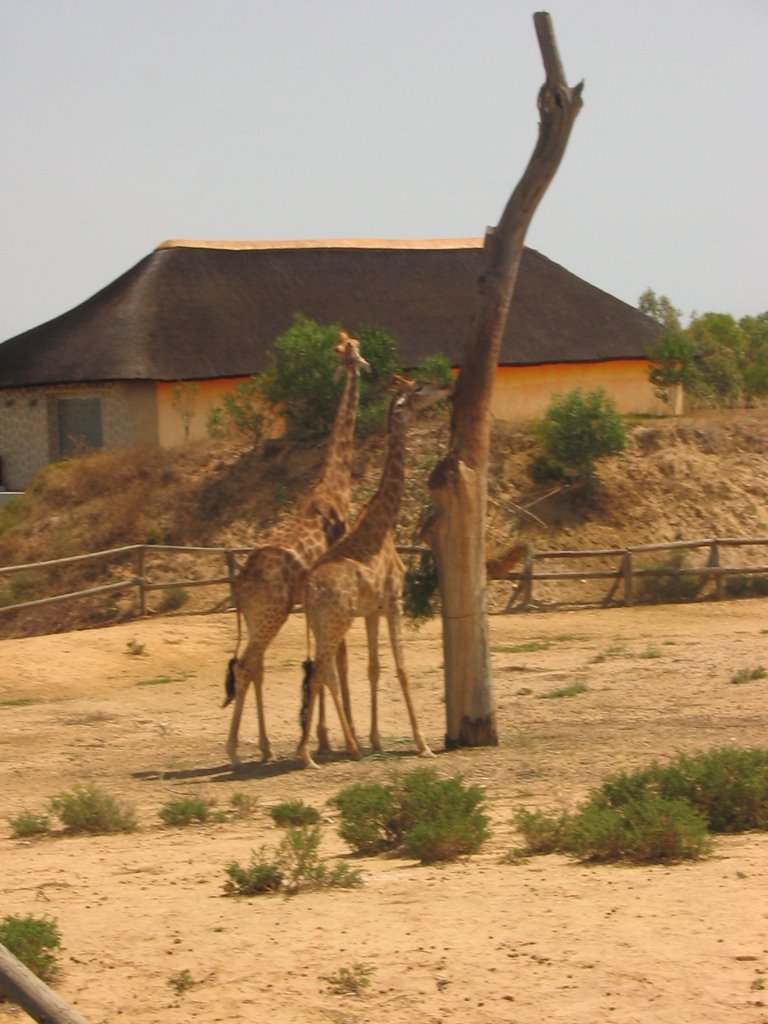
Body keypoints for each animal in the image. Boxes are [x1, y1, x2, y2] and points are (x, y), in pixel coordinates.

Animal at [225, 331, 370, 765]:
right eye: (354, 349)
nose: (359, 360)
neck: (334, 489)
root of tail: (240, 585)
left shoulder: (312, 604)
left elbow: (322, 664)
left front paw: (321, 739)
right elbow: (337, 662)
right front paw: (339, 739)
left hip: (258, 617)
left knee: (255, 666)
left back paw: (265, 748)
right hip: (272, 614)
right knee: (246, 665)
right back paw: (236, 751)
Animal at [296, 374, 454, 770]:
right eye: (418, 389)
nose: (448, 386)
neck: (383, 526)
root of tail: (308, 592)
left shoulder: (373, 610)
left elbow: (374, 667)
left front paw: (376, 739)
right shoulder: (394, 599)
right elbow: (401, 667)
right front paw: (423, 744)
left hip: (323, 624)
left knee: (326, 672)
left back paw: (350, 747)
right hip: (336, 620)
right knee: (320, 672)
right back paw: (307, 755)